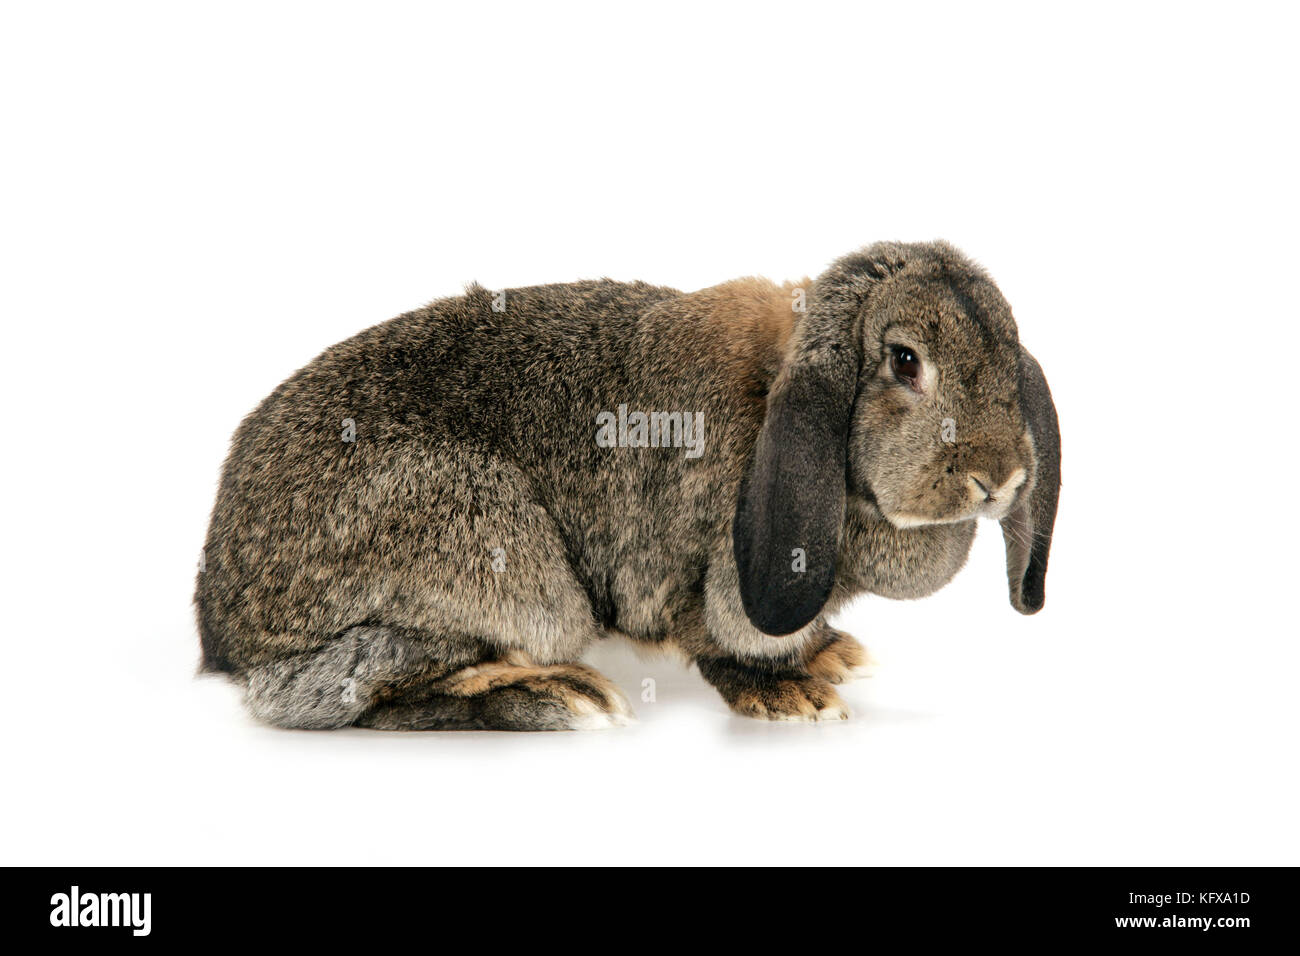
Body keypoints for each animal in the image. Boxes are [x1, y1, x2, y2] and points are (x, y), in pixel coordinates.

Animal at [195, 240, 1059, 730]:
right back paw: (558, 699)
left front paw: (831, 656)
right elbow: (718, 640)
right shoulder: (710, 582)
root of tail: (227, 638)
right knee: (347, 696)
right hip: (504, 560)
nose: (1002, 478)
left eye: (1008, 348)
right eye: (906, 360)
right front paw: (789, 697)